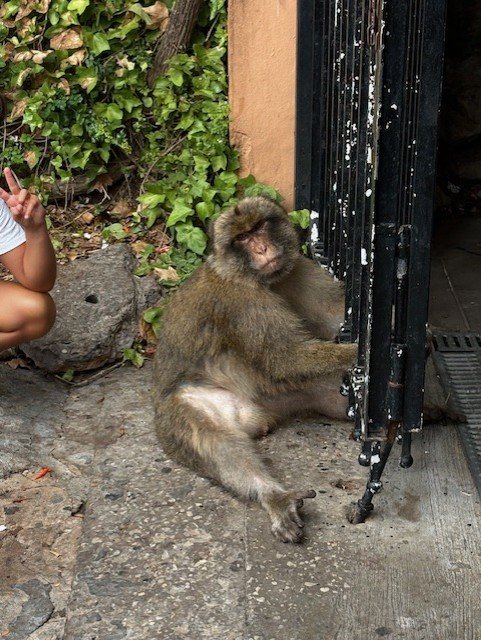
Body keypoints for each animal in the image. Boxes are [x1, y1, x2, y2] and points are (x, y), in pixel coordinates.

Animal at [153, 196, 357, 543]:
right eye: (242, 238)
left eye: (259, 226)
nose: (262, 248)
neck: (259, 280)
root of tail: (254, 416)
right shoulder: (242, 303)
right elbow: (285, 360)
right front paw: (363, 352)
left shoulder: (299, 270)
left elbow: (336, 314)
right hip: (176, 417)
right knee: (214, 442)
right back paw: (273, 496)